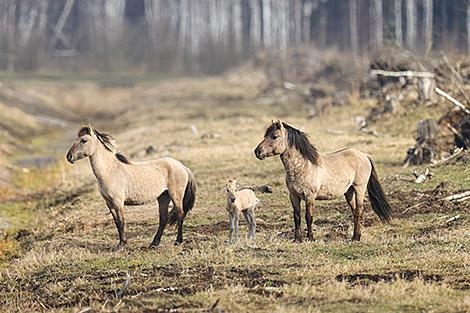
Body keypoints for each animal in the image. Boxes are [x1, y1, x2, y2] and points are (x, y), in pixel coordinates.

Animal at [66, 124, 196, 249]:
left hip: (176, 196)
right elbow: (117, 222)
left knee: (180, 214)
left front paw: (122, 244)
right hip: (163, 197)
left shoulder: (118, 202)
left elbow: (121, 222)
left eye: (84, 140)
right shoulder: (109, 203)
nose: (69, 157)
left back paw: (178, 241)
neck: (110, 171)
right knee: (163, 219)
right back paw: (154, 244)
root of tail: (183, 167)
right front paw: (121, 243)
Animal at [255, 119, 392, 241]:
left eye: (274, 136)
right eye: (265, 135)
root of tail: (364, 155)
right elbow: (297, 217)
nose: (257, 152)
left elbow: (308, 216)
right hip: (349, 192)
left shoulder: (310, 196)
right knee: (354, 212)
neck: (304, 166)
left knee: (359, 210)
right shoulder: (293, 196)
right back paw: (354, 236)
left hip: (359, 188)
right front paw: (297, 239)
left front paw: (310, 238)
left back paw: (357, 238)